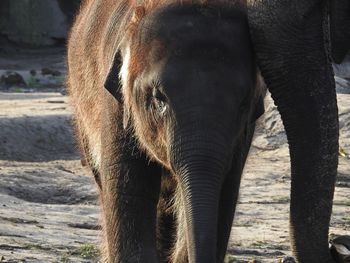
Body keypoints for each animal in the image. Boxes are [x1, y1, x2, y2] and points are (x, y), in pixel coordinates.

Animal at [68, 1, 264, 262]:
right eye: (158, 97)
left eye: (243, 103)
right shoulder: (115, 105)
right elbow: (130, 193)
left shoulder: (241, 137)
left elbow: (222, 196)